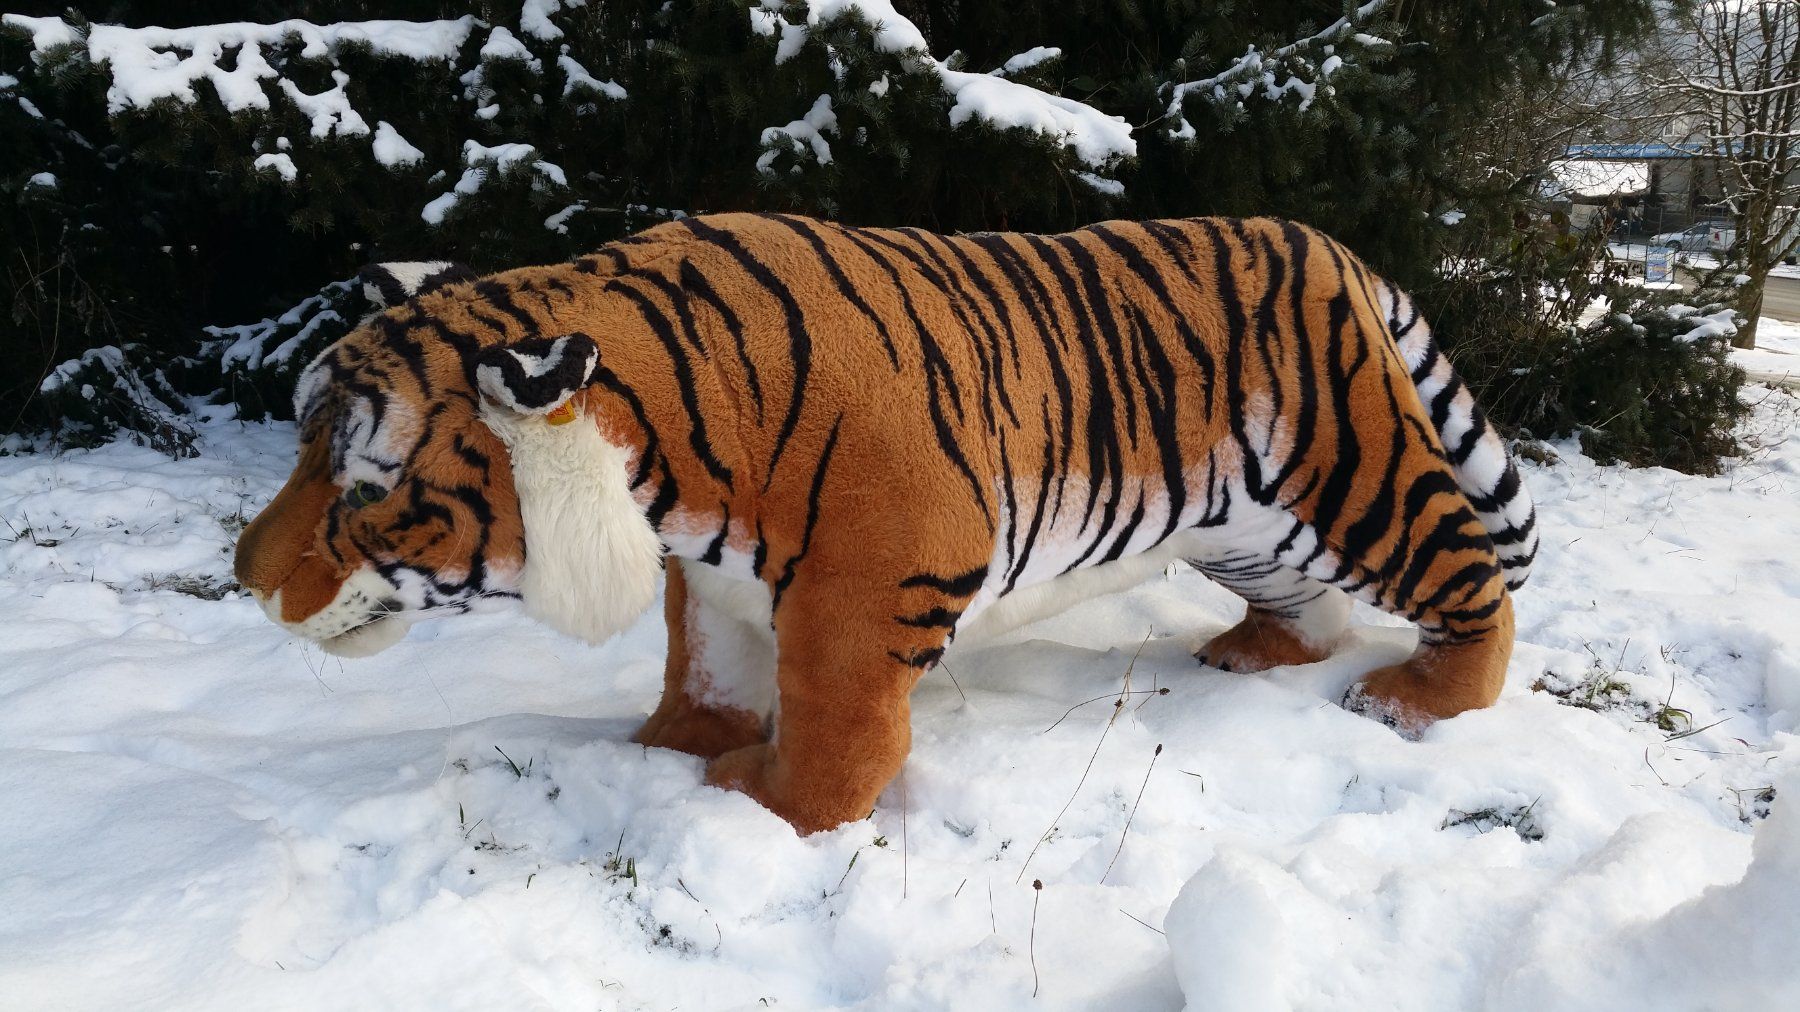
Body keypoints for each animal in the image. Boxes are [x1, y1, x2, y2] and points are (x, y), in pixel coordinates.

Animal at [234, 212, 1539, 834]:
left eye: (363, 489)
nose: (243, 577)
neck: (661, 462)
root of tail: (1327, 244)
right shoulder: (715, 581)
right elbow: (703, 669)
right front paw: (666, 749)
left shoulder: (879, 562)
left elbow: (838, 722)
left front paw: (762, 801)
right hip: (1242, 527)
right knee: (1312, 613)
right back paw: (1257, 654)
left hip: (1353, 478)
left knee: (1472, 574)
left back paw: (1419, 700)